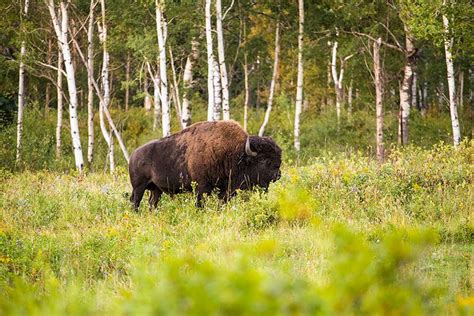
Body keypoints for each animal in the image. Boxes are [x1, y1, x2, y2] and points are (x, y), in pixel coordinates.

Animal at [128, 121, 282, 210]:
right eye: (263, 159)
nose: (277, 175)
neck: (236, 153)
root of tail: (133, 155)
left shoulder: (225, 189)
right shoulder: (202, 187)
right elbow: (200, 203)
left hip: (156, 189)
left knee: (152, 203)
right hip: (139, 187)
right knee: (135, 202)